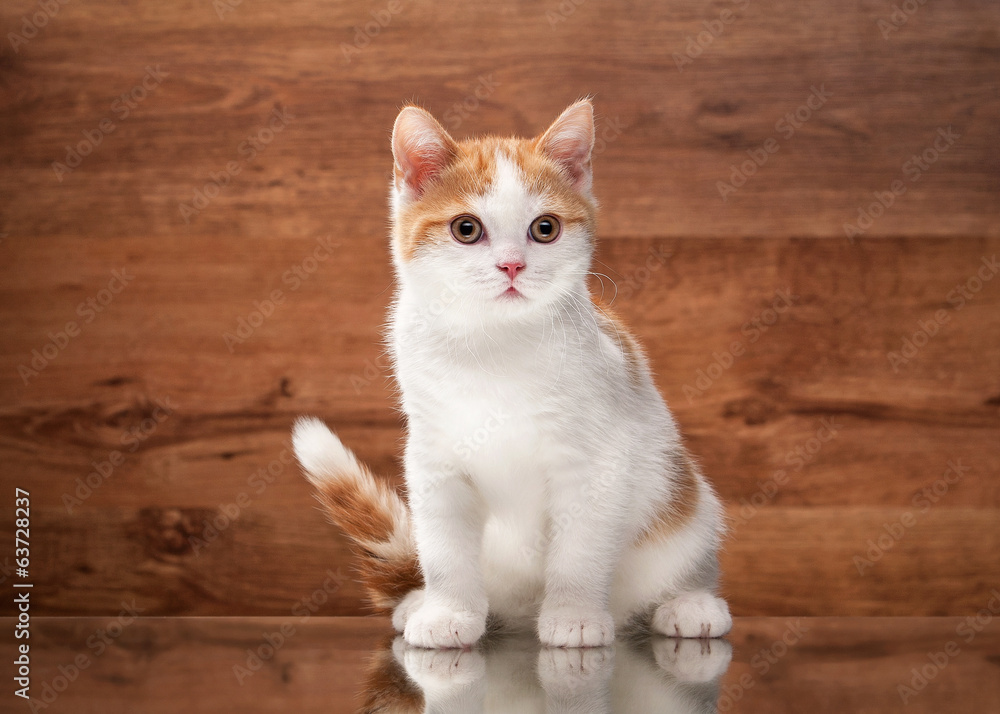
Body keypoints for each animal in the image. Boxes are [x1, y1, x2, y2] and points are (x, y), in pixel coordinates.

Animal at [292, 97, 732, 648]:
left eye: (545, 228)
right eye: (466, 229)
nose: (512, 266)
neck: (493, 343)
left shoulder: (597, 458)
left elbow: (580, 548)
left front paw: (574, 614)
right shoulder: (434, 456)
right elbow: (444, 548)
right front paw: (448, 611)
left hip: (688, 504)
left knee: (687, 554)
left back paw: (689, 603)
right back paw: (421, 602)